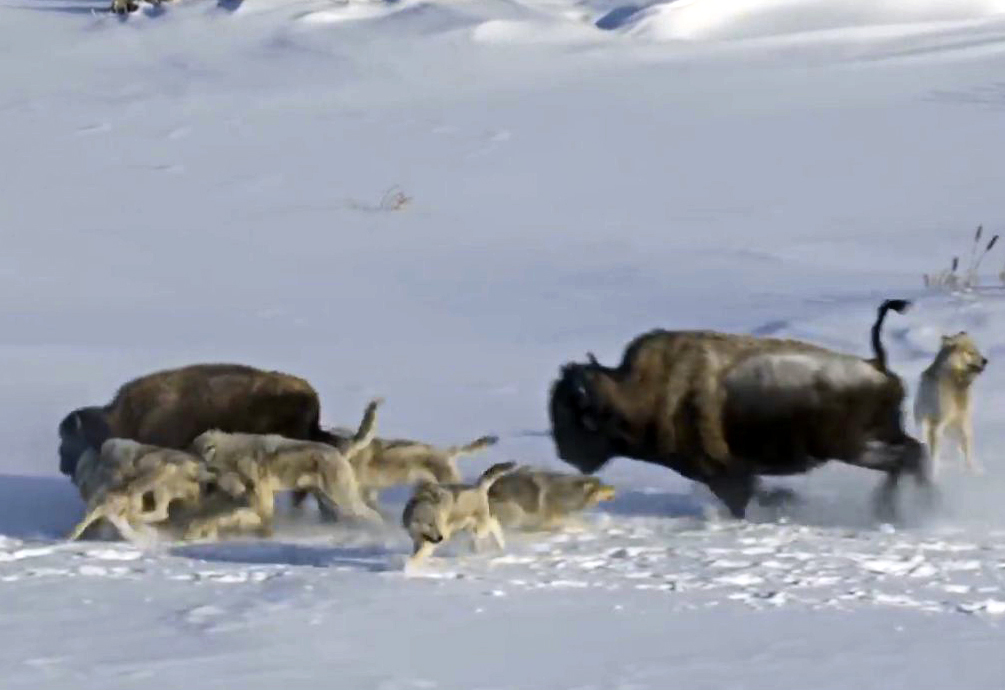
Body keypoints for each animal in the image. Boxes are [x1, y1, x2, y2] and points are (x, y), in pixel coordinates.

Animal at [546, 299, 928, 522]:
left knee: (905, 460)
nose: (564, 453)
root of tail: (876, 364)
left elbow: (742, 498)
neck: (641, 393)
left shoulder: (725, 474)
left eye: (572, 417)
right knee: (913, 455)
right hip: (877, 438)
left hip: (853, 448)